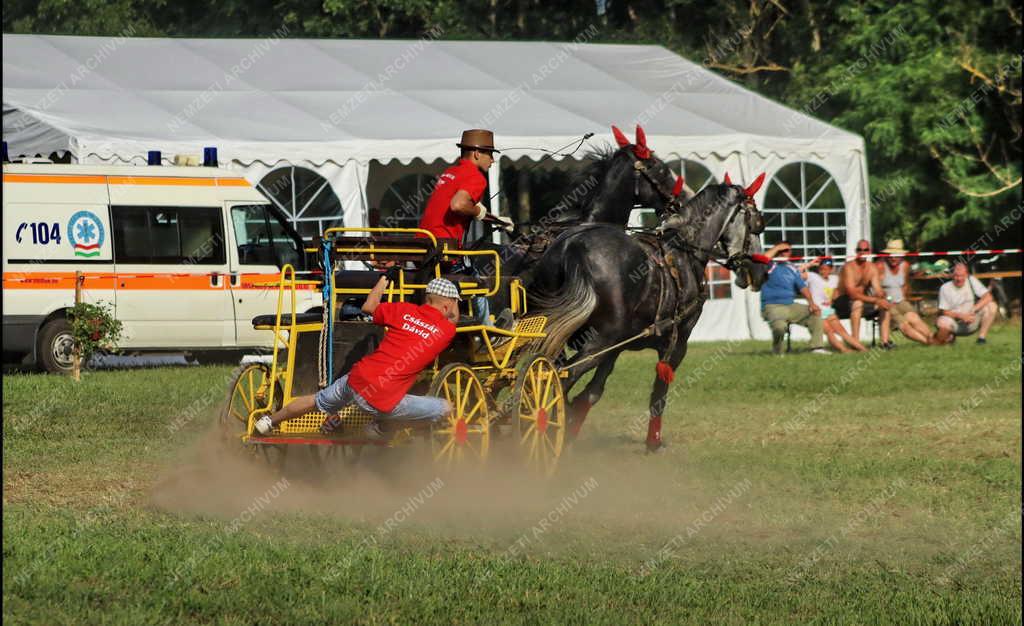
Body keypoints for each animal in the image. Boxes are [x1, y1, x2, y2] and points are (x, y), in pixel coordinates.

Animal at [528, 176, 770, 450]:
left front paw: (572, 428)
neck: (685, 251)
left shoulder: (618, 345)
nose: (762, 272)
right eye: (756, 224)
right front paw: (653, 441)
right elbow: (659, 395)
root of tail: (571, 246)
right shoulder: (676, 344)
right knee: (560, 376)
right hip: (599, 341)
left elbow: (592, 392)